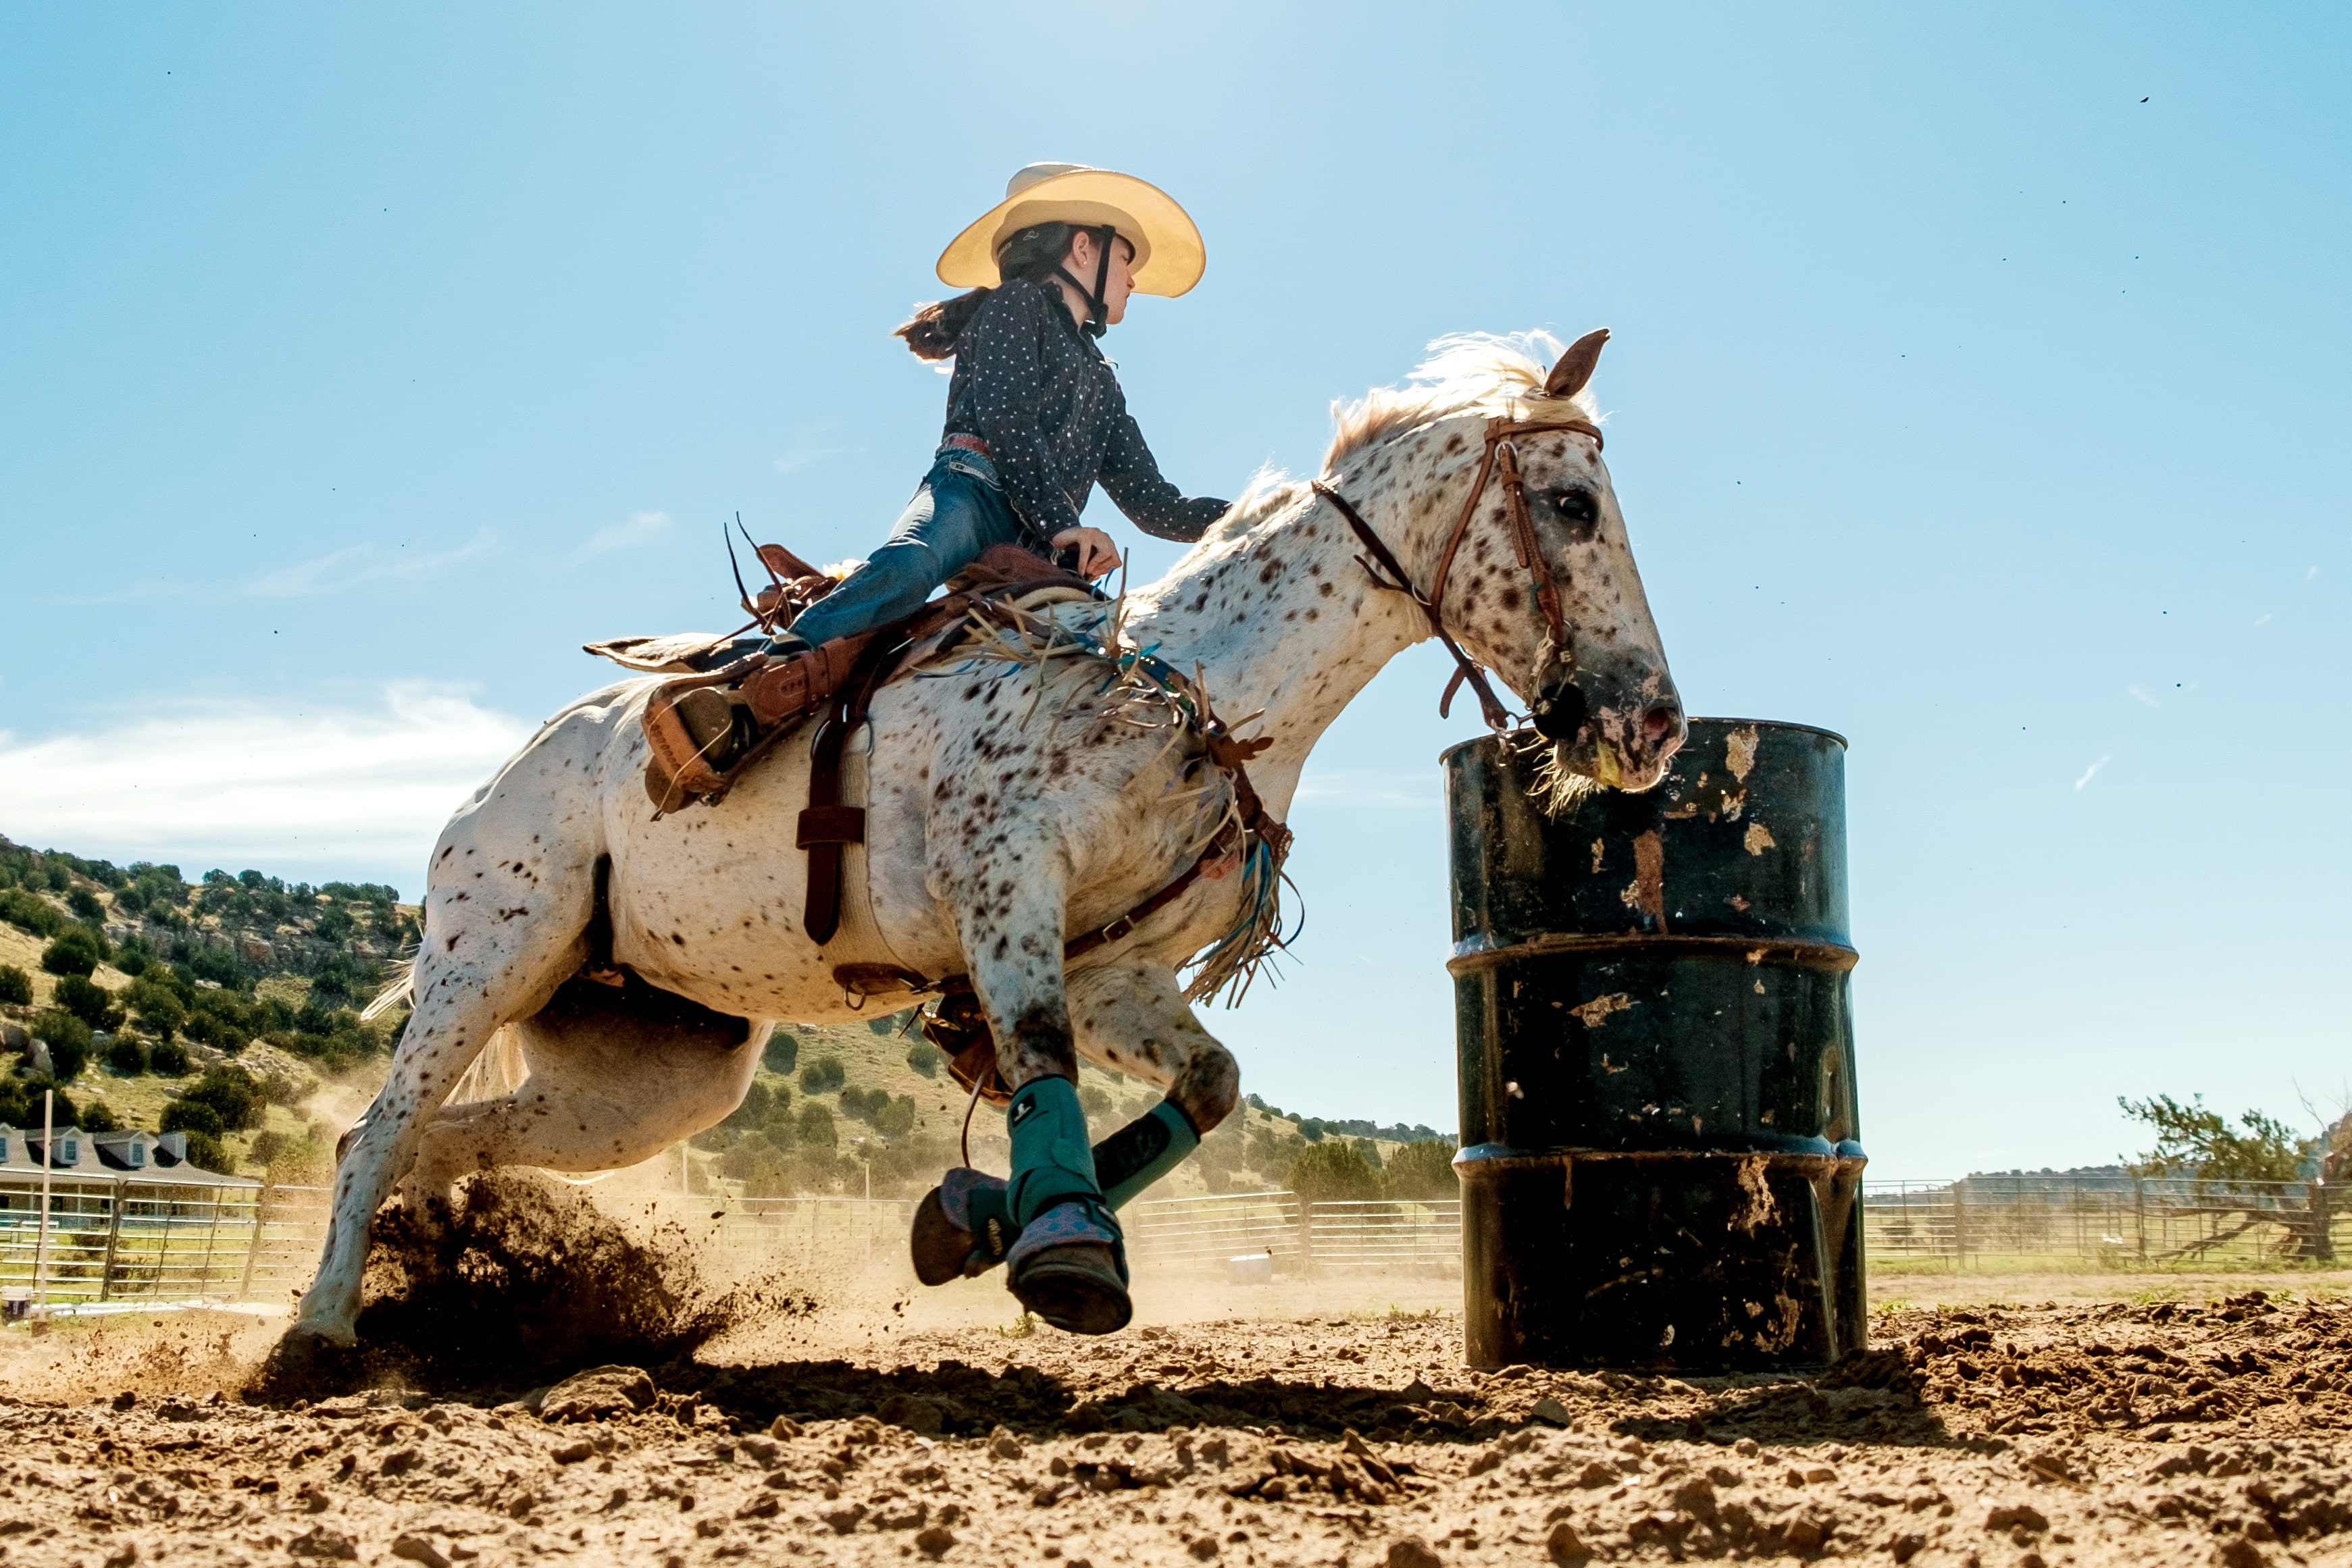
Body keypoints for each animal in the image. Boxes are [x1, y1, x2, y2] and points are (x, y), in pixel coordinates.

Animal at [289, 329, 1693, 1354]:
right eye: (1571, 503)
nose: (1654, 722)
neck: (1191, 700)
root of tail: (488, 790)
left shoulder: (1115, 970)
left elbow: (1206, 1084)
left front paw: (972, 1223)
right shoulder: (1006, 899)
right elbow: (1035, 1057)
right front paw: (1063, 1246)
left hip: (650, 1075)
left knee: (442, 1139)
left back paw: (436, 1286)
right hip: (491, 956)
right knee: (380, 1128)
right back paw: (318, 1333)